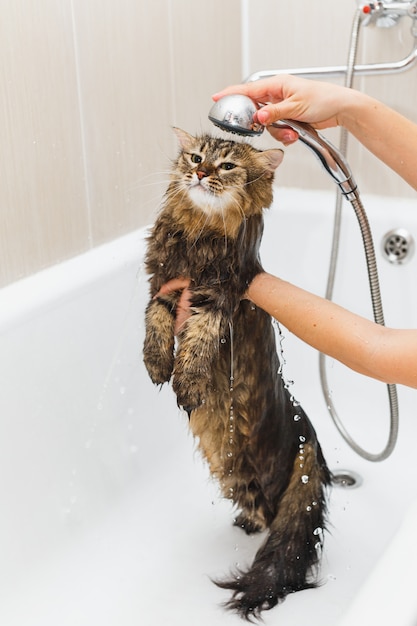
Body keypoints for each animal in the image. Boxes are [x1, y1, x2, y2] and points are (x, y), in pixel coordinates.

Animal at [143, 128, 332, 620]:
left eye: (227, 166)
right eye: (195, 157)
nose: (200, 173)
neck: (196, 235)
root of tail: (308, 435)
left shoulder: (221, 295)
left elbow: (196, 343)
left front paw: (186, 384)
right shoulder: (164, 287)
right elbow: (154, 324)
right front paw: (156, 363)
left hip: (252, 477)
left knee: (271, 519)